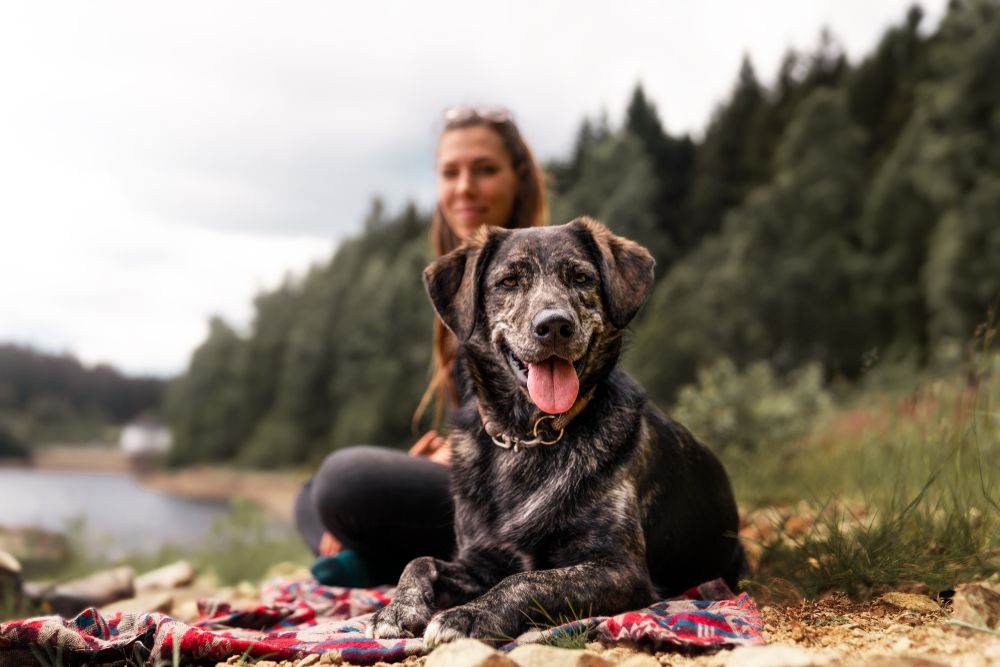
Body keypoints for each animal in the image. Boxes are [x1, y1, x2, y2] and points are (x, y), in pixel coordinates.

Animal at [368, 218, 744, 648]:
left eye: (581, 278)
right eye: (509, 281)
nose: (554, 325)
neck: (527, 437)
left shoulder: (621, 570)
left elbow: (527, 579)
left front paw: (468, 615)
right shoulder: (479, 561)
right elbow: (419, 561)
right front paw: (397, 609)